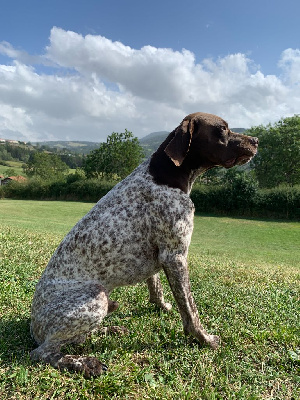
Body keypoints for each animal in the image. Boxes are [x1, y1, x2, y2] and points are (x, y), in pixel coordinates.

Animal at [29, 111, 258, 376]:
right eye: (222, 129)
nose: (256, 140)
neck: (164, 177)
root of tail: (34, 326)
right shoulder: (175, 256)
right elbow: (190, 310)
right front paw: (204, 339)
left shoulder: (160, 257)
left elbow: (156, 287)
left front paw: (161, 306)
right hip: (95, 298)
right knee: (44, 352)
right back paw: (84, 363)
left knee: (77, 337)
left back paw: (108, 330)